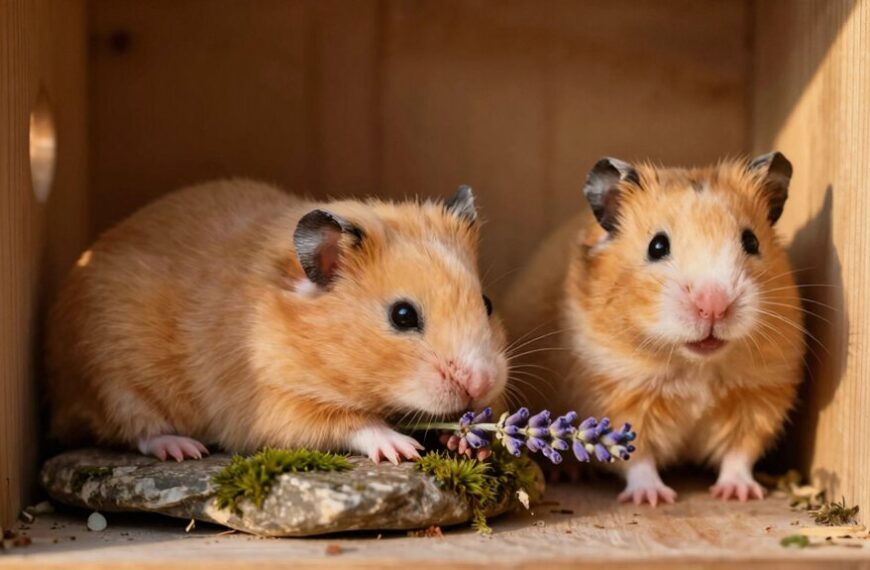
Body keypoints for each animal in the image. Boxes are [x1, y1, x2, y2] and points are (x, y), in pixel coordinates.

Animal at [46, 180, 508, 463]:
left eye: (486, 302)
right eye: (403, 315)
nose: (482, 382)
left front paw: (464, 439)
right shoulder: (276, 404)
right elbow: (353, 423)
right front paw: (404, 448)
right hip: (111, 382)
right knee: (135, 431)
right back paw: (184, 449)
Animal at [503, 153, 804, 505]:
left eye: (751, 241)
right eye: (657, 246)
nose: (714, 305)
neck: (695, 366)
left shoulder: (760, 396)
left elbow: (739, 453)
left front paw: (739, 494)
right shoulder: (617, 393)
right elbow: (636, 456)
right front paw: (653, 499)